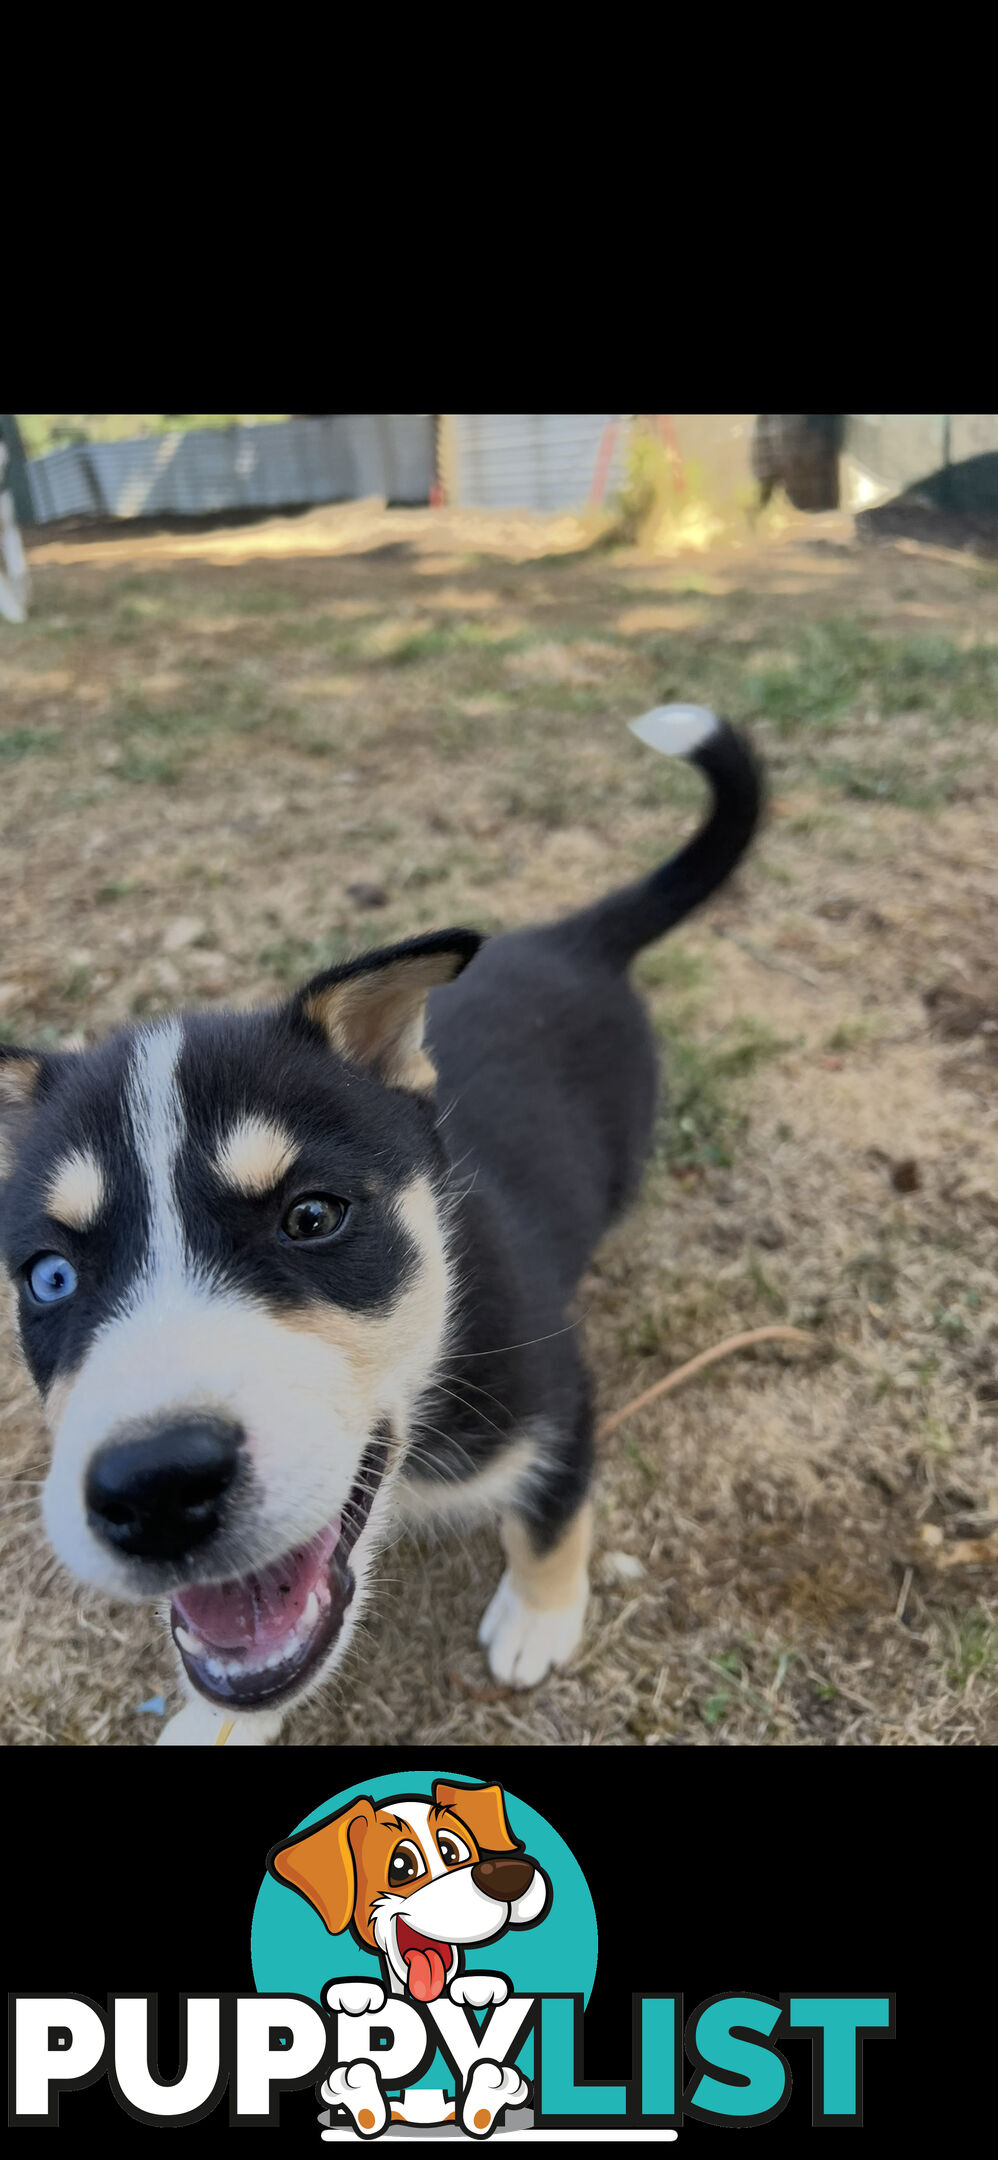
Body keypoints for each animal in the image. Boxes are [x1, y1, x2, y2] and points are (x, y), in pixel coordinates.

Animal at [0, 704, 760, 1736]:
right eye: (50, 1276)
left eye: (313, 1217)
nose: (155, 1490)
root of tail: (570, 939)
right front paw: (218, 1719)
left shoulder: (558, 1393)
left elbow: (552, 1512)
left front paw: (540, 1616)